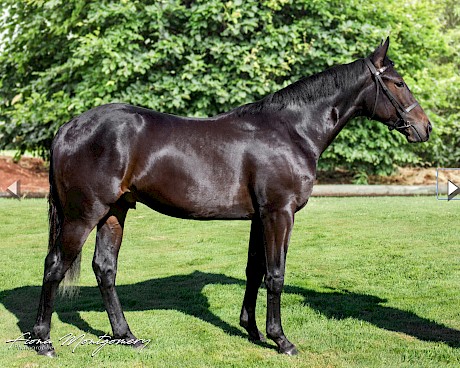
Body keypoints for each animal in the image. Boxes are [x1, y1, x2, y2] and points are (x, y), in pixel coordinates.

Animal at [32, 38, 432, 356]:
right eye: (397, 82)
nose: (424, 128)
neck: (292, 131)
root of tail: (69, 127)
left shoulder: (260, 217)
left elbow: (255, 270)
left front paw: (252, 330)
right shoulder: (279, 213)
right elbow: (276, 274)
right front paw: (281, 340)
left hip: (114, 212)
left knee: (105, 269)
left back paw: (126, 335)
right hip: (83, 215)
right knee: (55, 266)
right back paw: (43, 341)